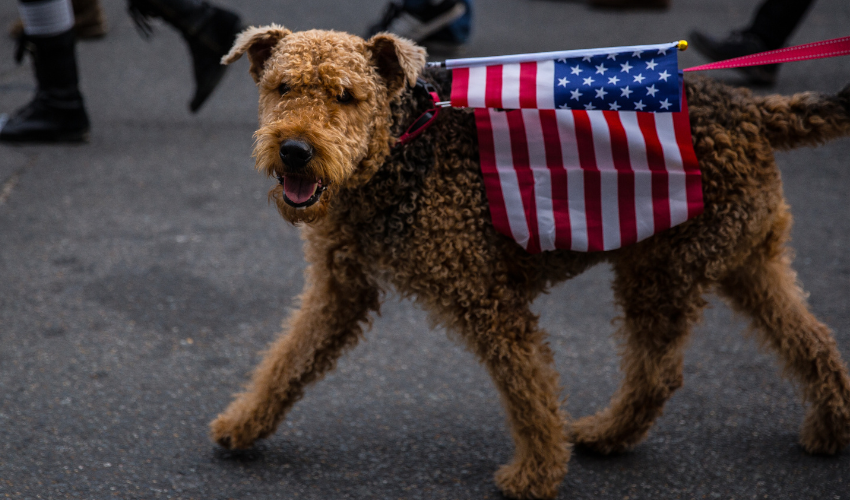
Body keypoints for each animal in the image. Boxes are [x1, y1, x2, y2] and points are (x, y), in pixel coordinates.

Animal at [209, 25, 848, 498]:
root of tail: (752, 109)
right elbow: (289, 357)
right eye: (282, 86)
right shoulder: (341, 287)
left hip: (663, 270)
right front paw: (242, 423)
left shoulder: (486, 298)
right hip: (746, 258)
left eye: (347, 95)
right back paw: (829, 426)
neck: (401, 142)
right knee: (811, 340)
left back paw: (604, 434)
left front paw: (535, 475)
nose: (295, 150)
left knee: (659, 373)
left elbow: (528, 388)